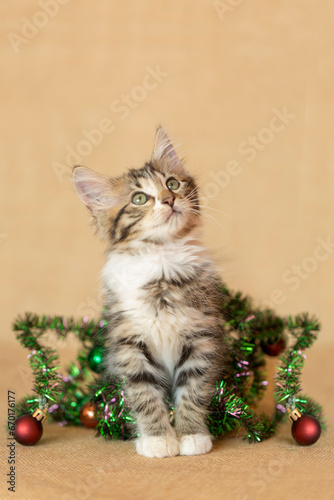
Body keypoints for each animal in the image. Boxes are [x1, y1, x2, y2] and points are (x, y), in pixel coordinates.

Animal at [72, 128, 226, 458]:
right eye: (139, 198)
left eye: (172, 183)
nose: (169, 200)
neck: (162, 261)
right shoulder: (129, 344)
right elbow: (144, 395)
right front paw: (157, 439)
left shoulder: (201, 337)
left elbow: (193, 391)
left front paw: (192, 435)